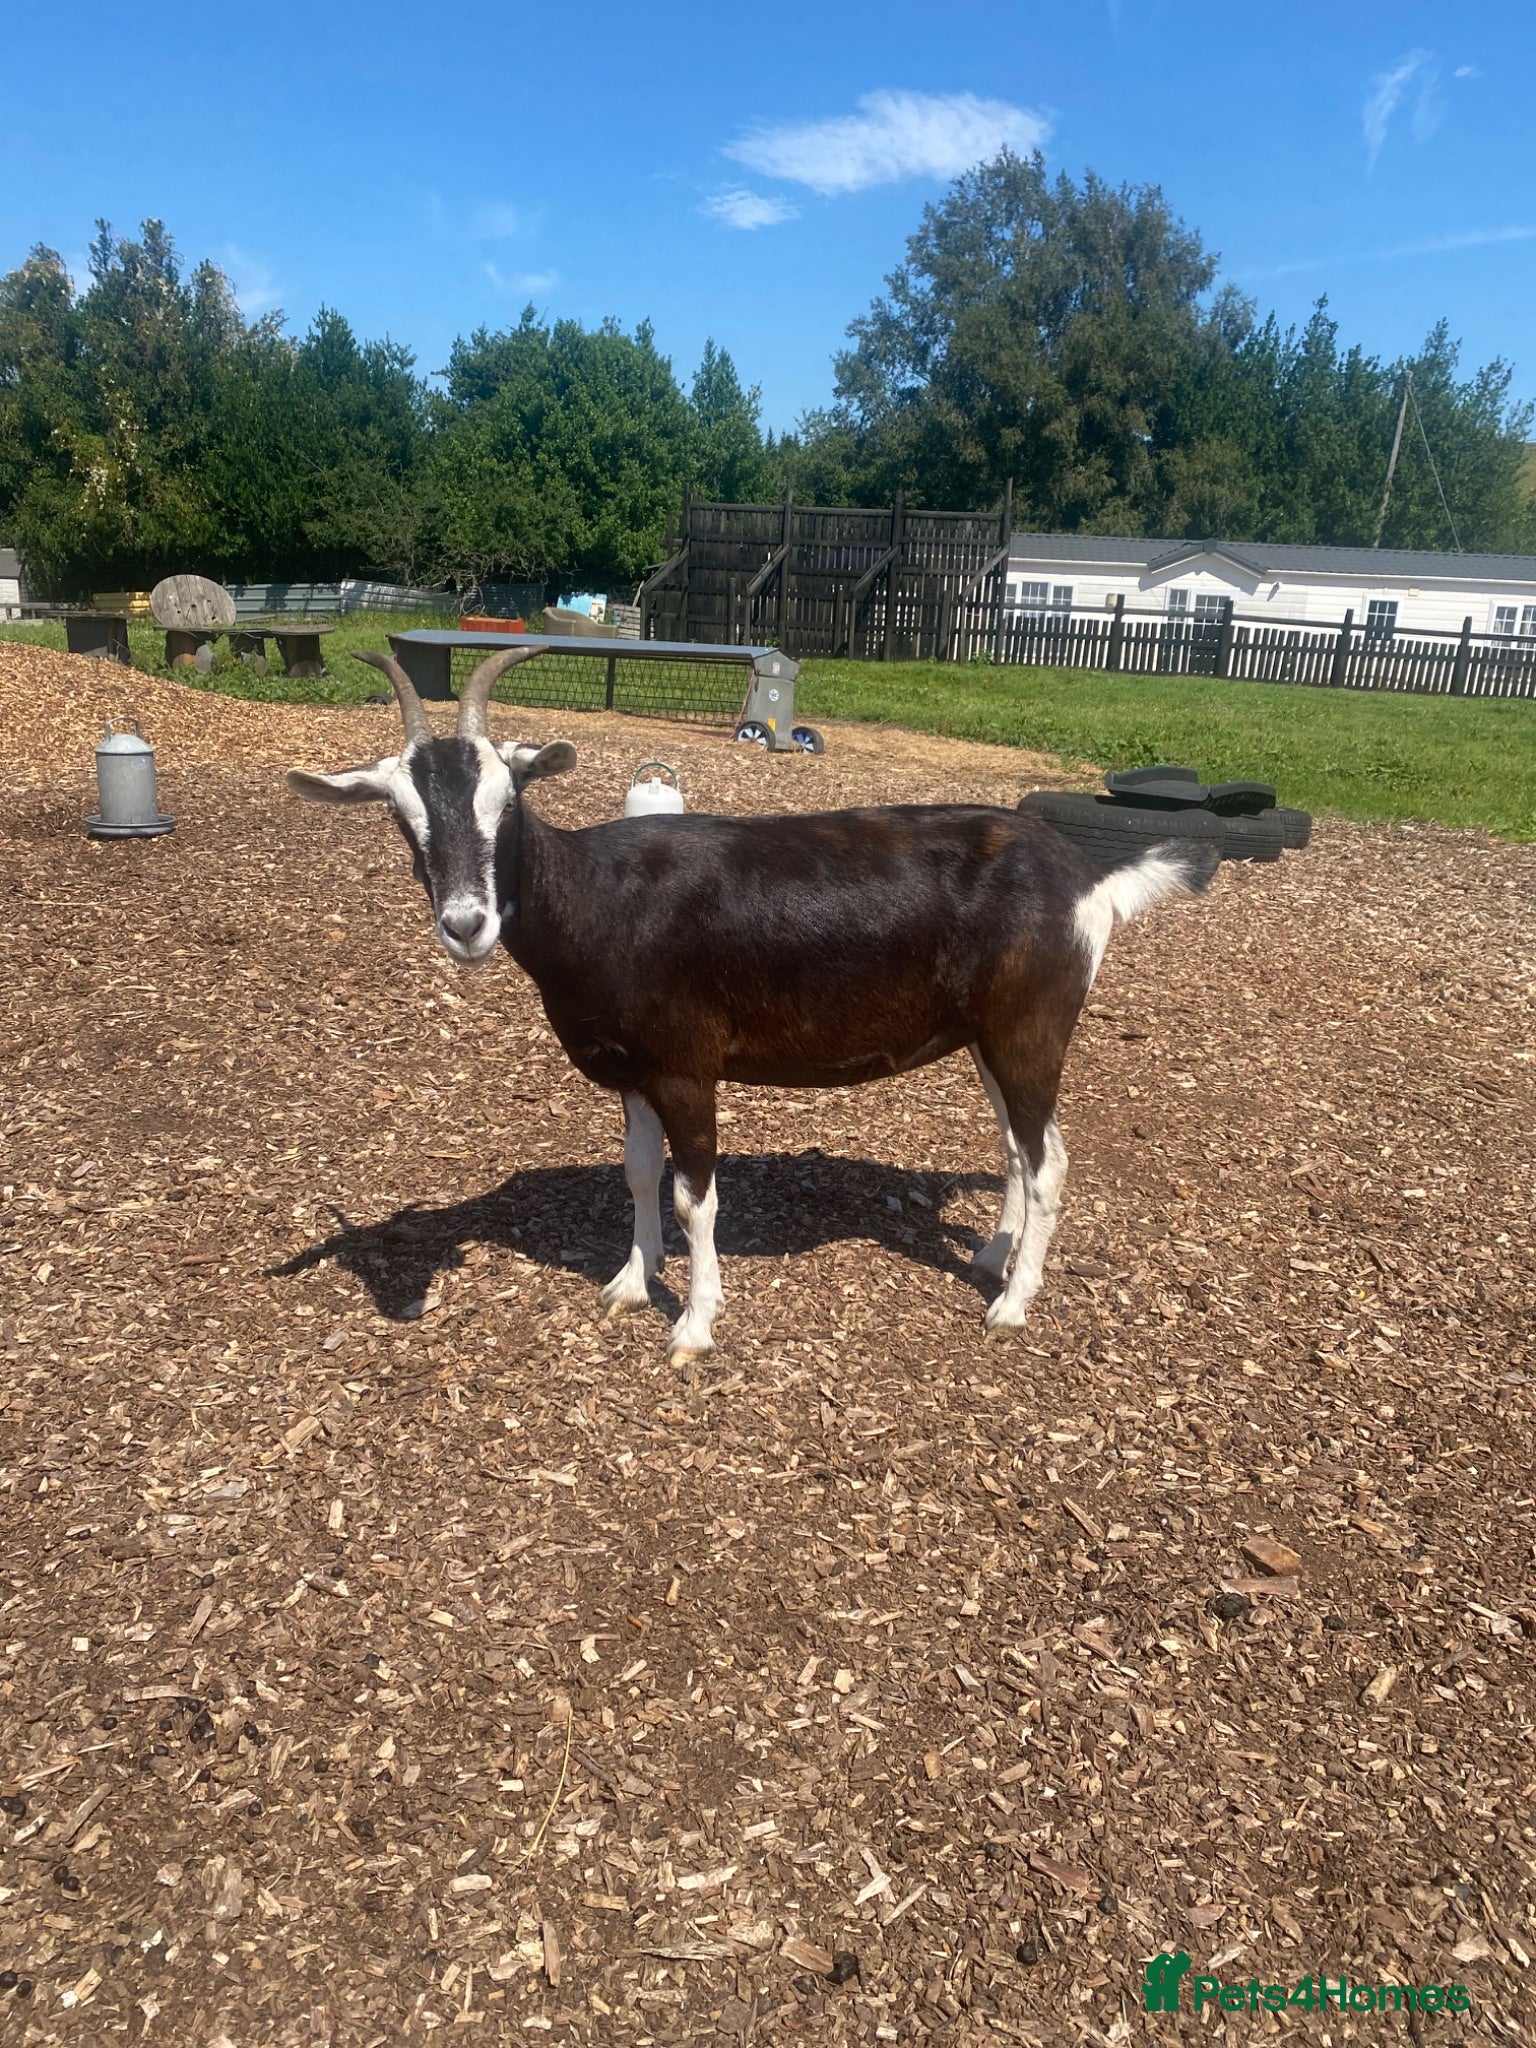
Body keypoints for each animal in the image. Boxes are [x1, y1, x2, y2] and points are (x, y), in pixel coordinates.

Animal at [286, 647, 1217, 1355]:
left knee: (1049, 1159)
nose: (466, 925)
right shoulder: (631, 1070)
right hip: (989, 1035)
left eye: (506, 801)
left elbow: (695, 1195)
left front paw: (695, 1324)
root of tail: (1090, 882)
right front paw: (630, 1283)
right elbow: (638, 1172)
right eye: (403, 817)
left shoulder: (686, 1066)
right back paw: (992, 1254)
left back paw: (1012, 1303)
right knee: (1018, 1149)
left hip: (1032, 1026)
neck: (599, 899)